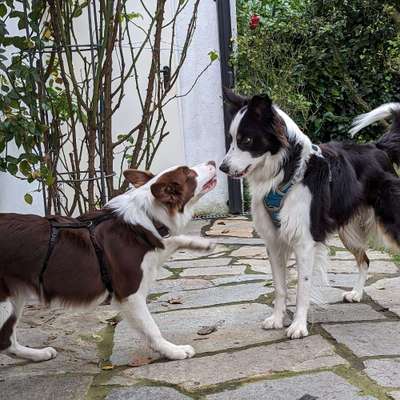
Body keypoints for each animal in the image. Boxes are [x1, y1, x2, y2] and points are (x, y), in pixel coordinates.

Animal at [0, 161, 217, 360]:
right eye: (189, 173)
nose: (213, 162)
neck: (147, 216)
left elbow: (172, 240)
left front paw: (201, 244)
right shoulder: (130, 293)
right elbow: (151, 327)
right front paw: (173, 351)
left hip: (15, 296)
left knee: (7, 342)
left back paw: (37, 354)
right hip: (4, 303)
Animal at [220, 91, 400, 340]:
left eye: (246, 140)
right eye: (231, 139)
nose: (222, 168)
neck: (287, 172)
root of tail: (378, 148)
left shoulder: (304, 242)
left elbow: (302, 288)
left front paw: (298, 326)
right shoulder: (274, 242)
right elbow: (280, 287)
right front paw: (277, 319)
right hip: (348, 234)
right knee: (364, 260)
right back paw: (355, 293)